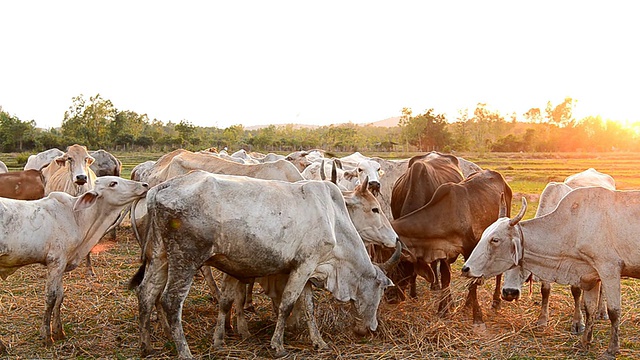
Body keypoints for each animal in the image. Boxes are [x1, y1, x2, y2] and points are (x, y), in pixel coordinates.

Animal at [0, 176, 149, 350]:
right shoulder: (55, 261)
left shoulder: (63, 263)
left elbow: (60, 296)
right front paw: (47, 336)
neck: (76, 216)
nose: (144, 185)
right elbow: (50, 298)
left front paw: (59, 332)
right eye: (113, 183)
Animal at [133, 171, 398, 358]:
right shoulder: (305, 264)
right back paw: (185, 352)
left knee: (146, 293)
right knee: (170, 300)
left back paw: (147, 346)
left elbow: (308, 307)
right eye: (381, 290)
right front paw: (278, 345)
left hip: (160, 256)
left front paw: (319, 342)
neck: (334, 220)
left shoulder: (306, 269)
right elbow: (287, 304)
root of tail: (161, 188)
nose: (372, 328)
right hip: (186, 258)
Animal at [462, 188, 640, 358]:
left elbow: (614, 312)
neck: (573, 227)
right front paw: (584, 342)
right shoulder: (589, 276)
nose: (466, 269)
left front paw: (611, 350)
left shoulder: (609, 269)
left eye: (495, 239)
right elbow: (590, 309)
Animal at [500, 167, 616, 334]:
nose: (509, 293)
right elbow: (545, 290)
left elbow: (575, 290)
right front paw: (542, 320)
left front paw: (578, 322)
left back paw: (602, 311)